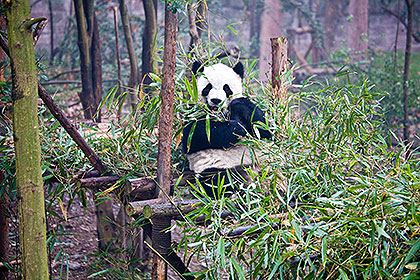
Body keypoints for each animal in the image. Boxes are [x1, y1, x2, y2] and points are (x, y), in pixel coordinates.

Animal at [183, 61, 270, 198]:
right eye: (208, 87)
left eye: (226, 88)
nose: (216, 100)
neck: (220, 114)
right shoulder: (193, 114)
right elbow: (194, 137)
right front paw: (237, 128)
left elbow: (264, 128)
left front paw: (239, 106)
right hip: (218, 168)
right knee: (219, 180)